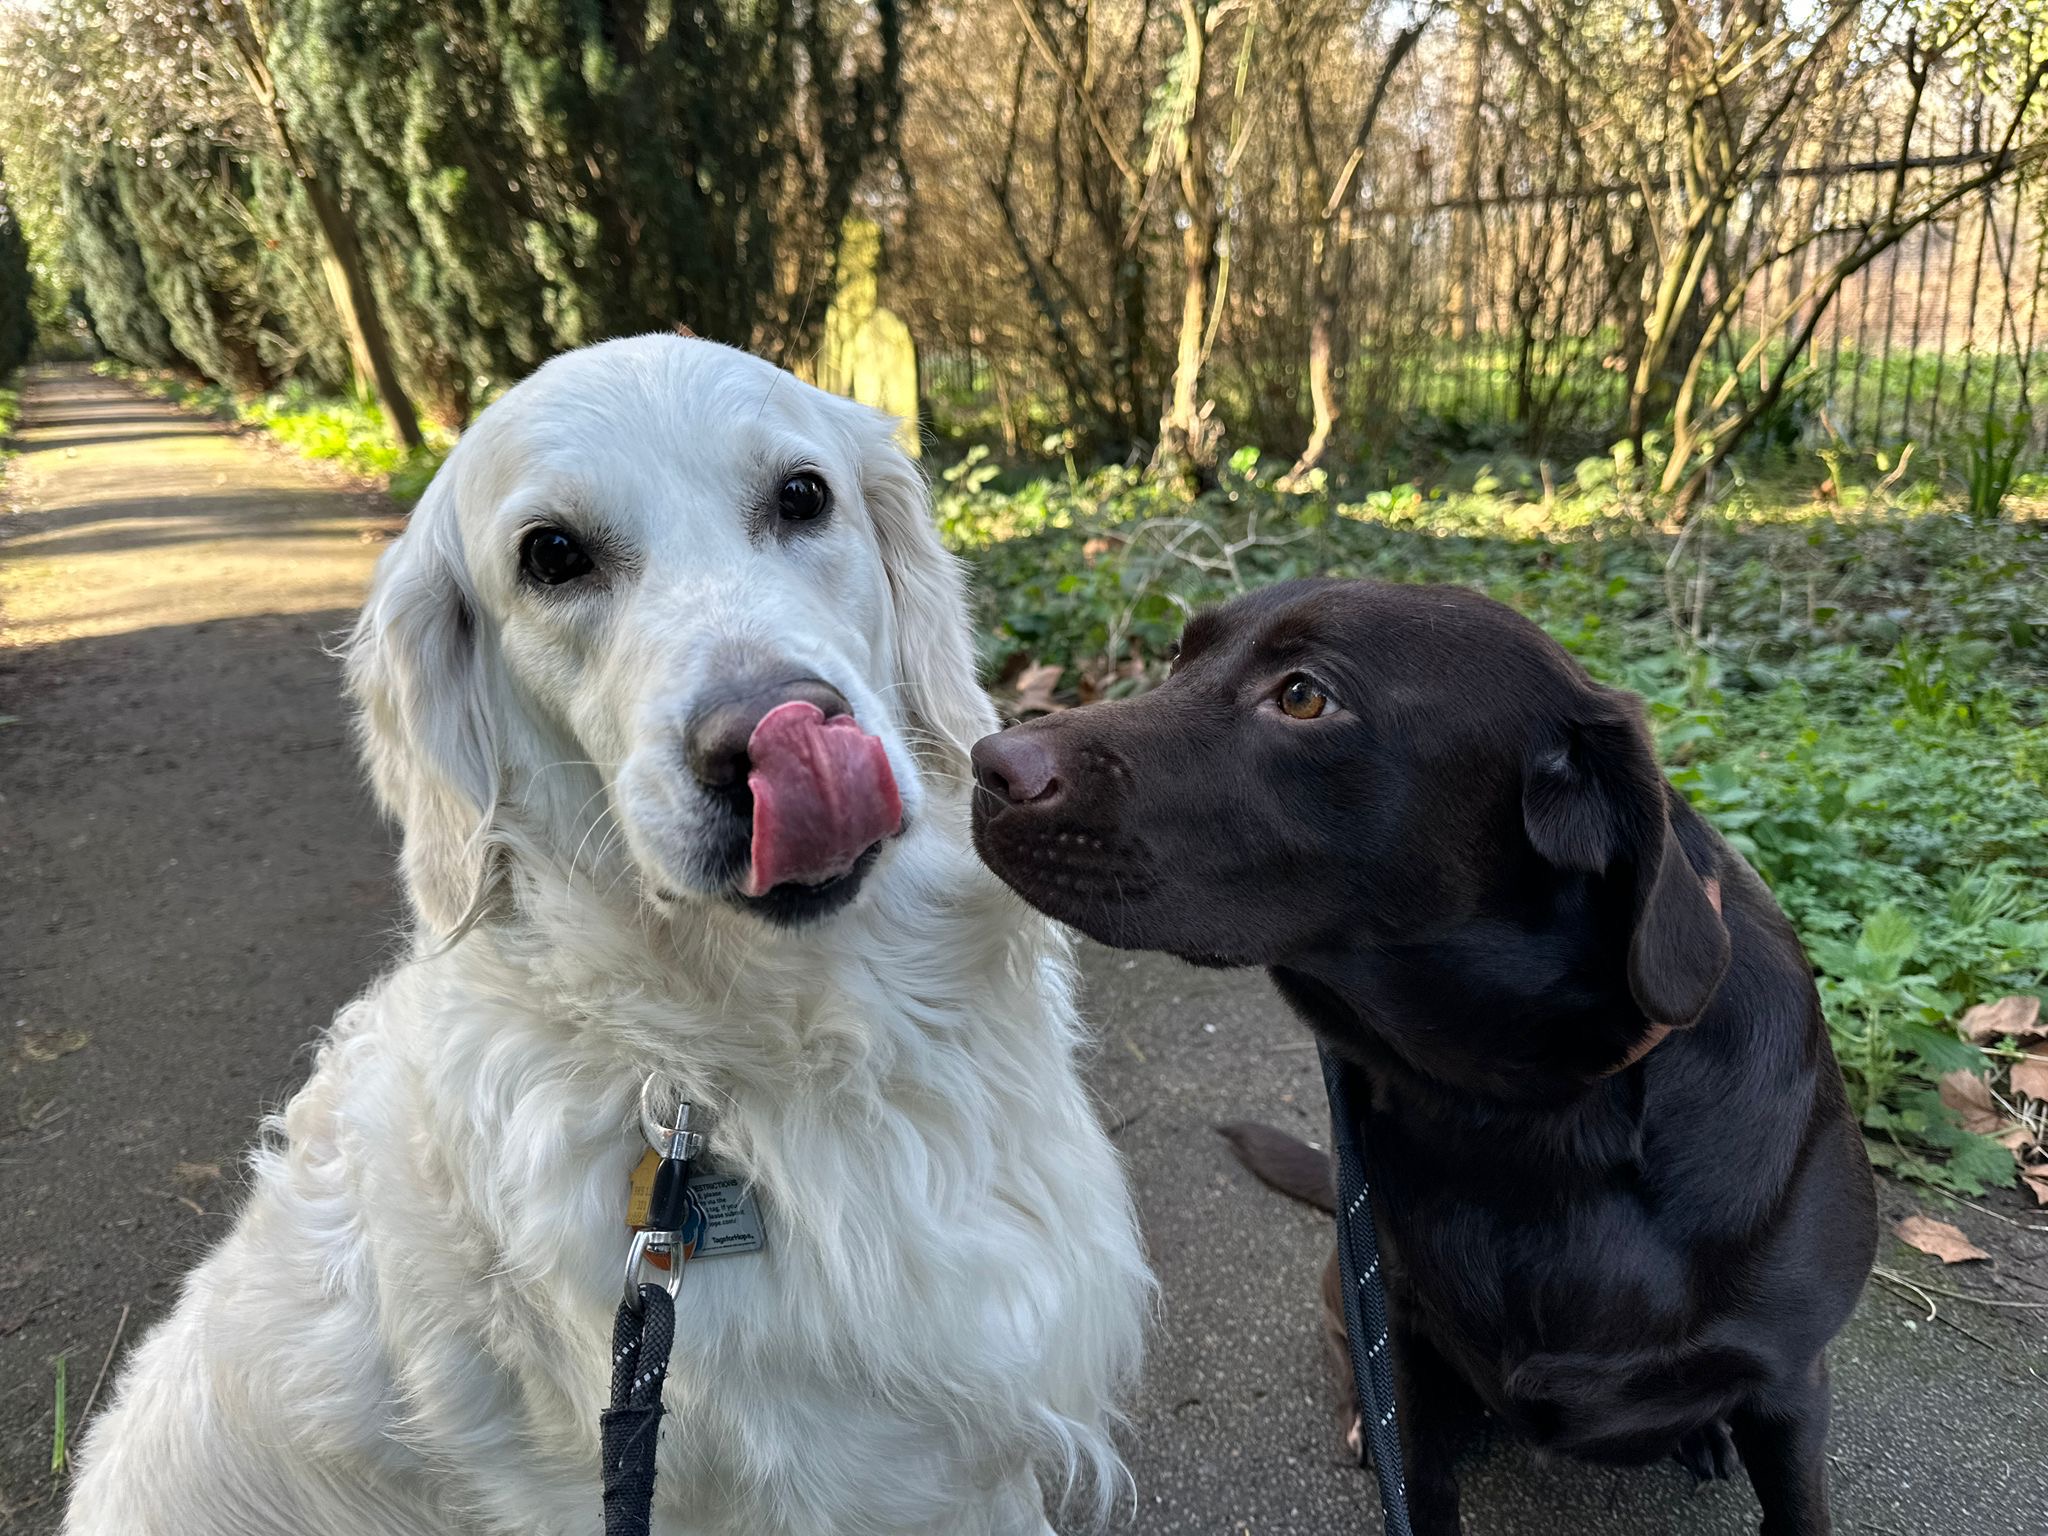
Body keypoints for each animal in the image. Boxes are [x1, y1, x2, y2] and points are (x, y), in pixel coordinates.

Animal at [969, 578, 1876, 1536]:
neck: (1524, 1110)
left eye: (1303, 696)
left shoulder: (1791, 1385)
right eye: (1182, 657)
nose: (986, 765)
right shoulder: (1403, 1345)